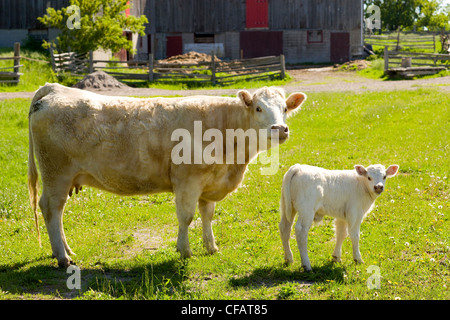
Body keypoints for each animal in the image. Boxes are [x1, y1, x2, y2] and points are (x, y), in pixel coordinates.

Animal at [26, 83, 304, 268]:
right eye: (258, 108)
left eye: (285, 109)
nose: (280, 129)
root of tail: (55, 88)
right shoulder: (188, 181)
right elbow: (186, 217)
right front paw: (184, 250)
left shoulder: (209, 183)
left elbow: (207, 215)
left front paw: (211, 246)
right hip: (56, 174)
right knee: (50, 208)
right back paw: (62, 257)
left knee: (58, 212)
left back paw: (65, 250)